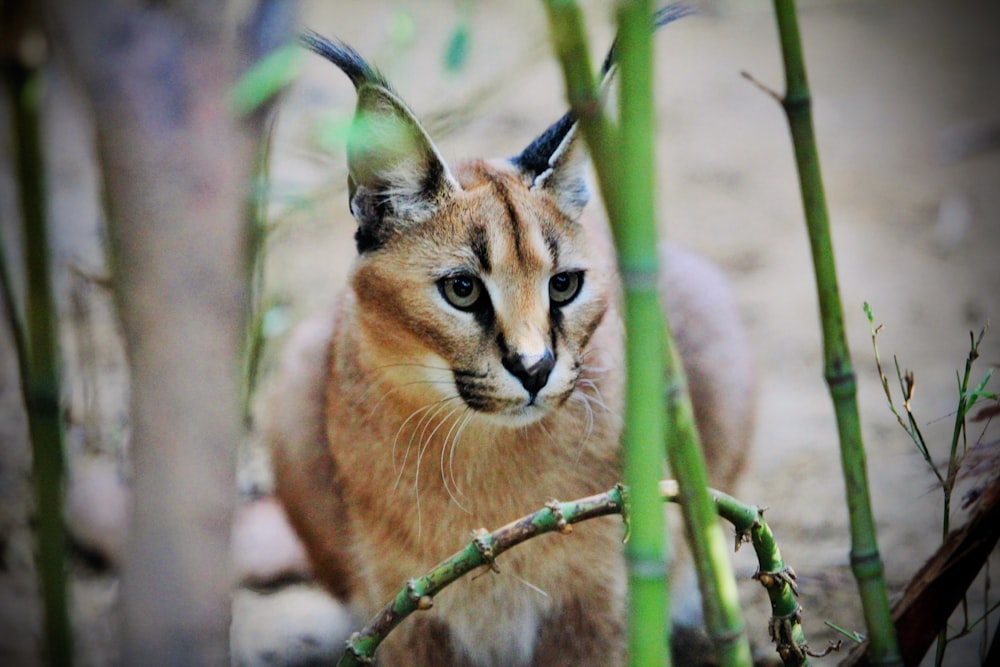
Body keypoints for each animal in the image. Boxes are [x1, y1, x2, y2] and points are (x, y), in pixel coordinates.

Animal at [266, 19, 752, 667]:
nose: (535, 367)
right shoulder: (406, 616)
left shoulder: (598, 606)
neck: (481, 456)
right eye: (463, 289)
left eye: (564, 285)